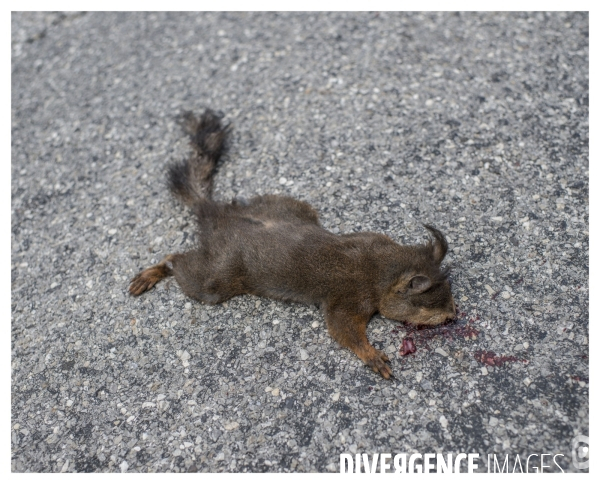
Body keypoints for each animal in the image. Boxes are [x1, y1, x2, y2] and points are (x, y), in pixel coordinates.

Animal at [127, 109, 454, 378]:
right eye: (423, 306)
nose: (453, 316)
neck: (383, 265)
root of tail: (214, 213)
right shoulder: (349, 296)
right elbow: (343, 329)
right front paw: (372, 356)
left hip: (288, 207)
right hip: (216, 278)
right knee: (178, 262)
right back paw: (153, 272)